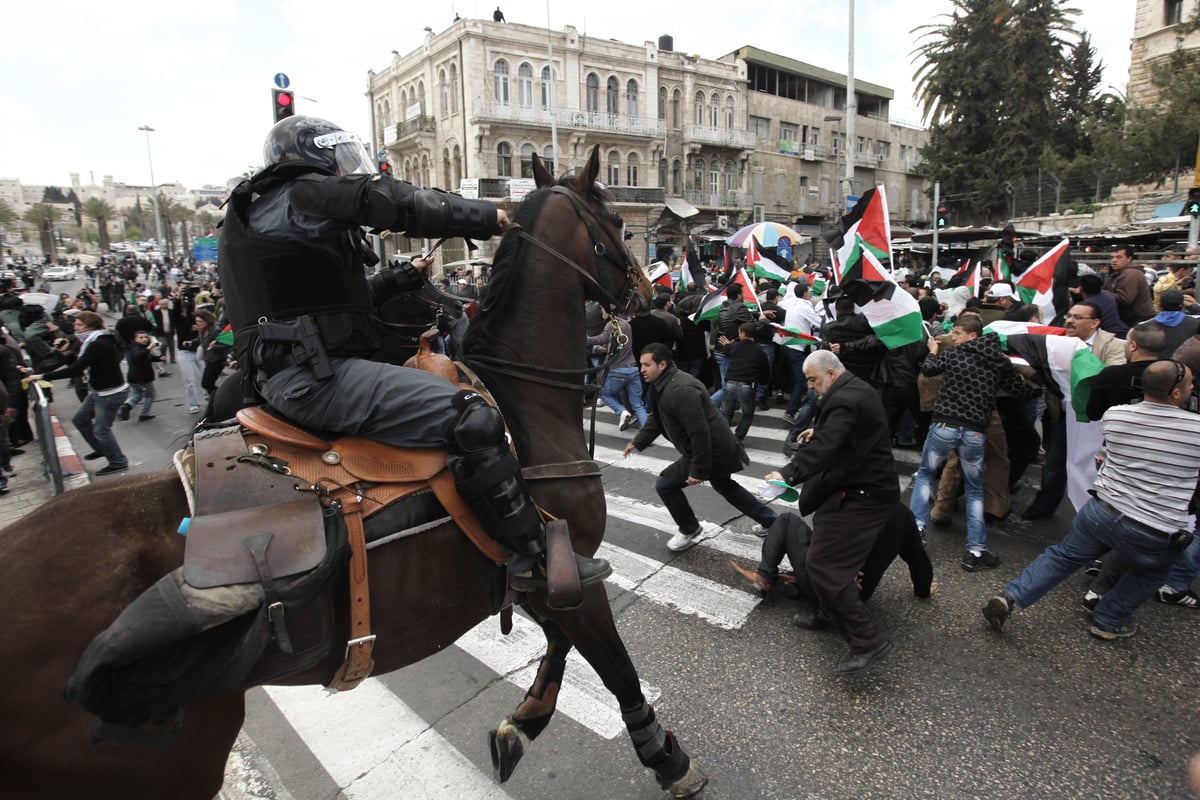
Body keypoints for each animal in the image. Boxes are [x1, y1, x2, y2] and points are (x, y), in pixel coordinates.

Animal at [0, 145, 705, 800]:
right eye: (615, 220)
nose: (650, 294)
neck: (524, 402)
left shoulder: (548, 586)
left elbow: (559, 650)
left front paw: (521, 724)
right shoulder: (573, 576)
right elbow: (613, 668)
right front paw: (665, 756)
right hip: (170, 755)